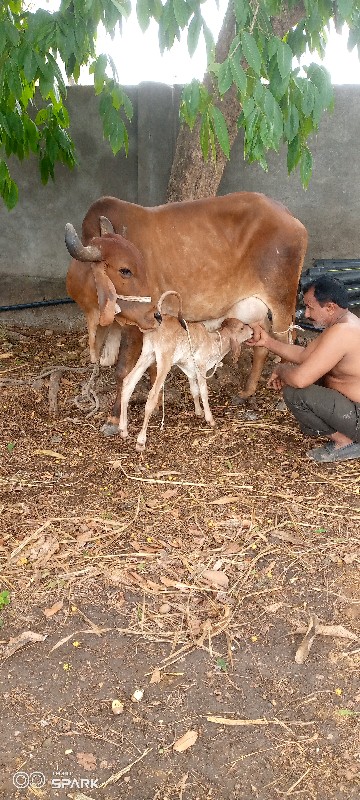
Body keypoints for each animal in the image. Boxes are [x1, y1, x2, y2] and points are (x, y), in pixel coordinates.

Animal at [67, 191, 306, 434]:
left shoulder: (137, 325)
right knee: (262, 343)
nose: (154, 309)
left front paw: (114, 418)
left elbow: (122, 371)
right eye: (125, 270)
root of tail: (288, 215)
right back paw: (246, 392)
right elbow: (151, 367)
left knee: (288, 342)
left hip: (281, 303)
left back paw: (281, 399)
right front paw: (157, 403)